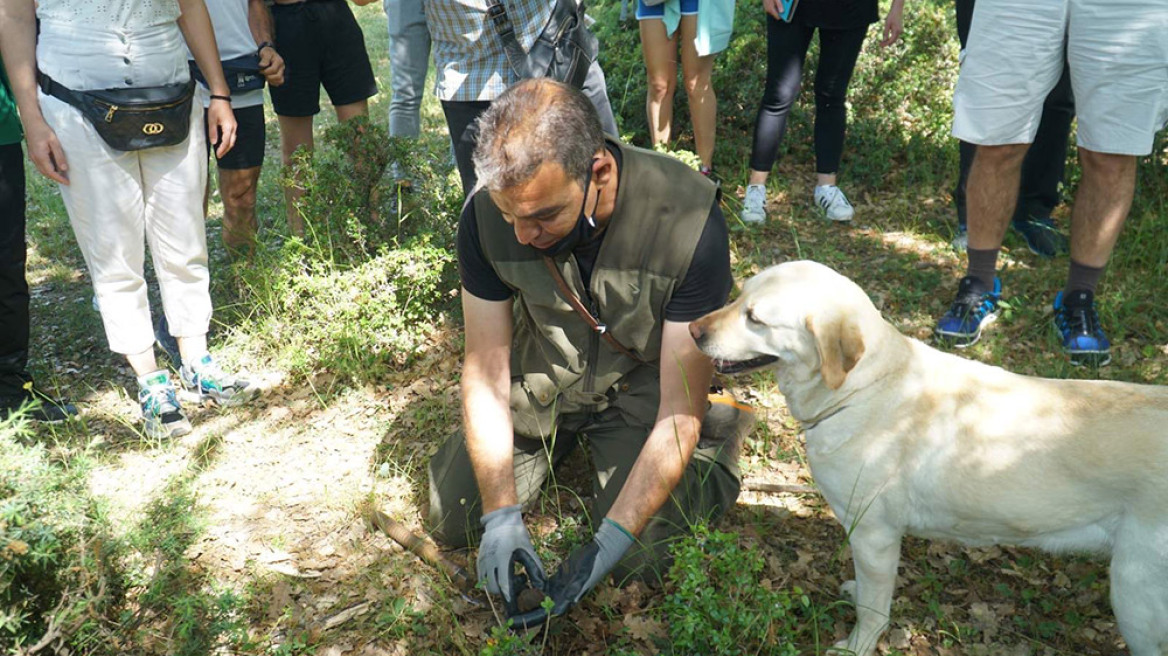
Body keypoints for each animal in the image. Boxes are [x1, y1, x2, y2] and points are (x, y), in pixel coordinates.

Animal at [686, 260, 1163, 653]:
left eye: (755, 318)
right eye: (740, 295)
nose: (692, 330)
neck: (863, 387)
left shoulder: (874, 534)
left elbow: (874, 610)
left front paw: (858, 645)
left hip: (1134, 595)